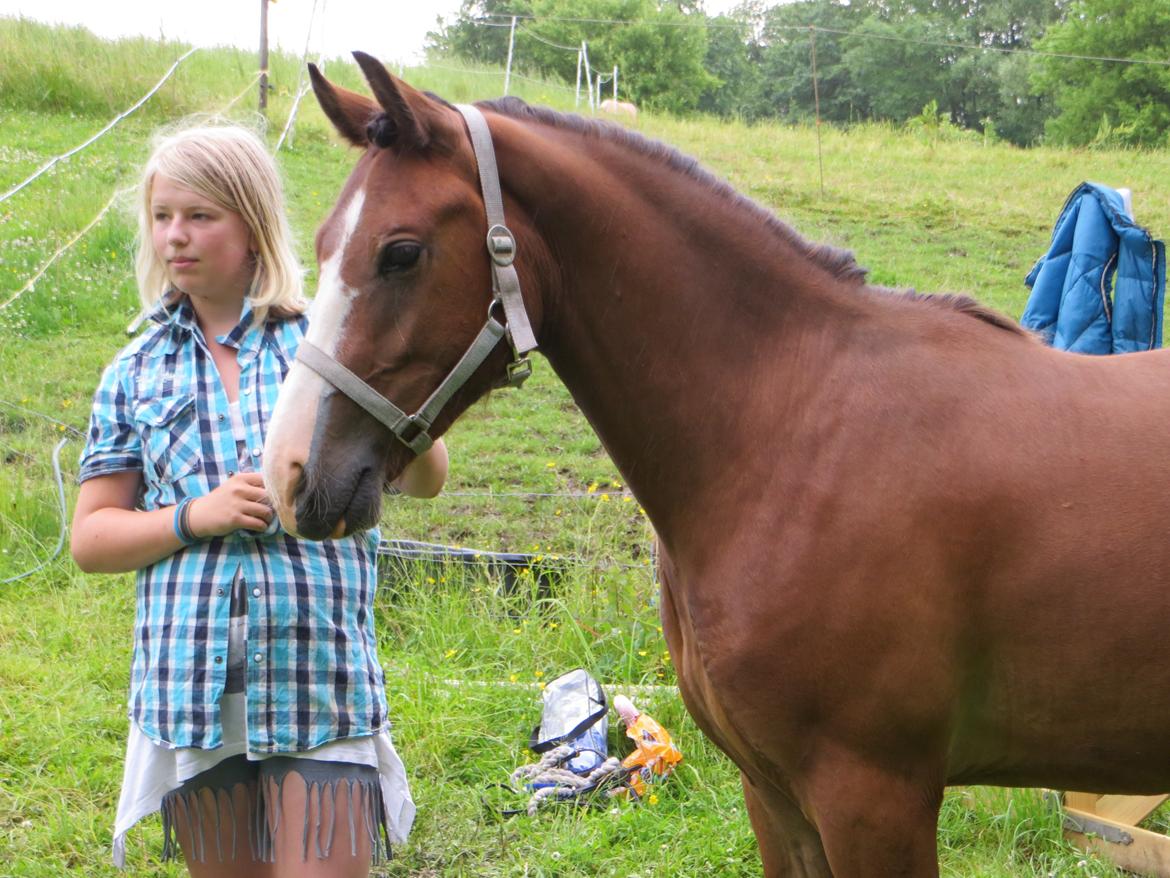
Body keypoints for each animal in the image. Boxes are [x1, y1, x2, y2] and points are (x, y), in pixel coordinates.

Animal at [263, 53, 1170, 876]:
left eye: (401, 252)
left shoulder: (874, 798)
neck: (791, 431)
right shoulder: (773, 793)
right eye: (322, 245)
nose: (290, 472)